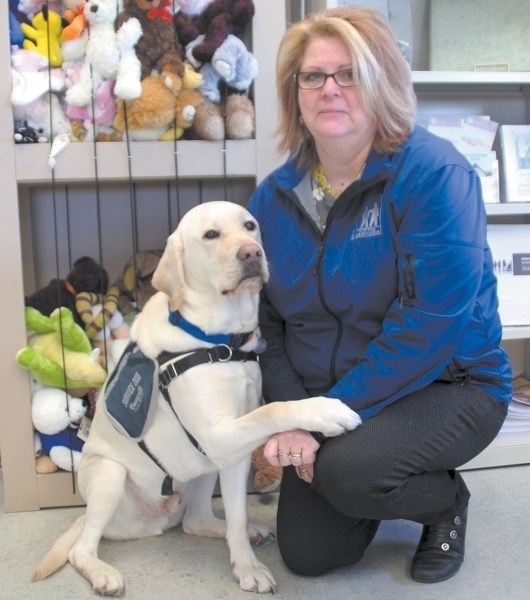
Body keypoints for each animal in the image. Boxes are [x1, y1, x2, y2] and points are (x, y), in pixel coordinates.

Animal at [32, 202, 358, 596]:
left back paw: (244, 530)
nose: (252, 253)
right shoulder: (219, 434)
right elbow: (273, 410)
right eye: (211, 235)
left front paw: (246, 566)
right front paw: (326, 410)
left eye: (250, 226)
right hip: (110, 476)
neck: (221, 340)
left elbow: (237, 516)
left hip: (204, 469)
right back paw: (102, 573)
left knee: (196, 520)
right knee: (81, 549)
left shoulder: (231, 455)